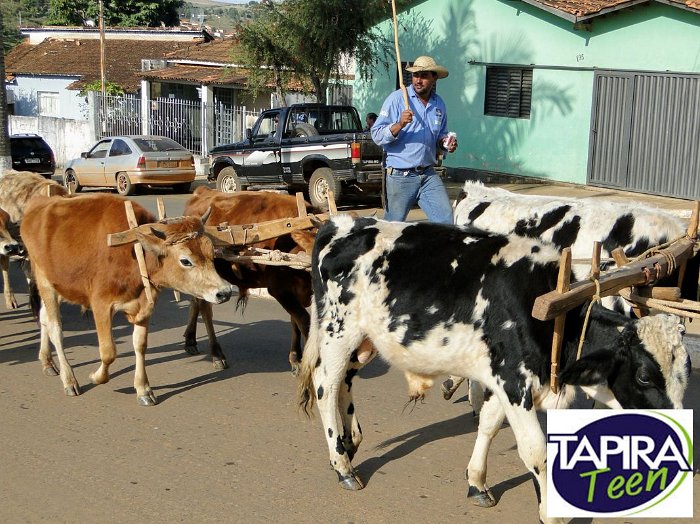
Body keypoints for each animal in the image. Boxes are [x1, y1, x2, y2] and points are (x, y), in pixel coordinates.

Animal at [298, 216, 692, 524]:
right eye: (643, 375)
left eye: (684, 374)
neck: (551, 316)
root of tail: (341, 223)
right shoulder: (514, 380)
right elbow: (536, 451)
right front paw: (550, 513)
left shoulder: (502, 378)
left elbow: (488, 423)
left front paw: (477, 482)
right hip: (338, 331)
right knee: (326, 385)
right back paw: (342, 465)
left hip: (363, 341)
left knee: (346, 382)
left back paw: (351, 441)